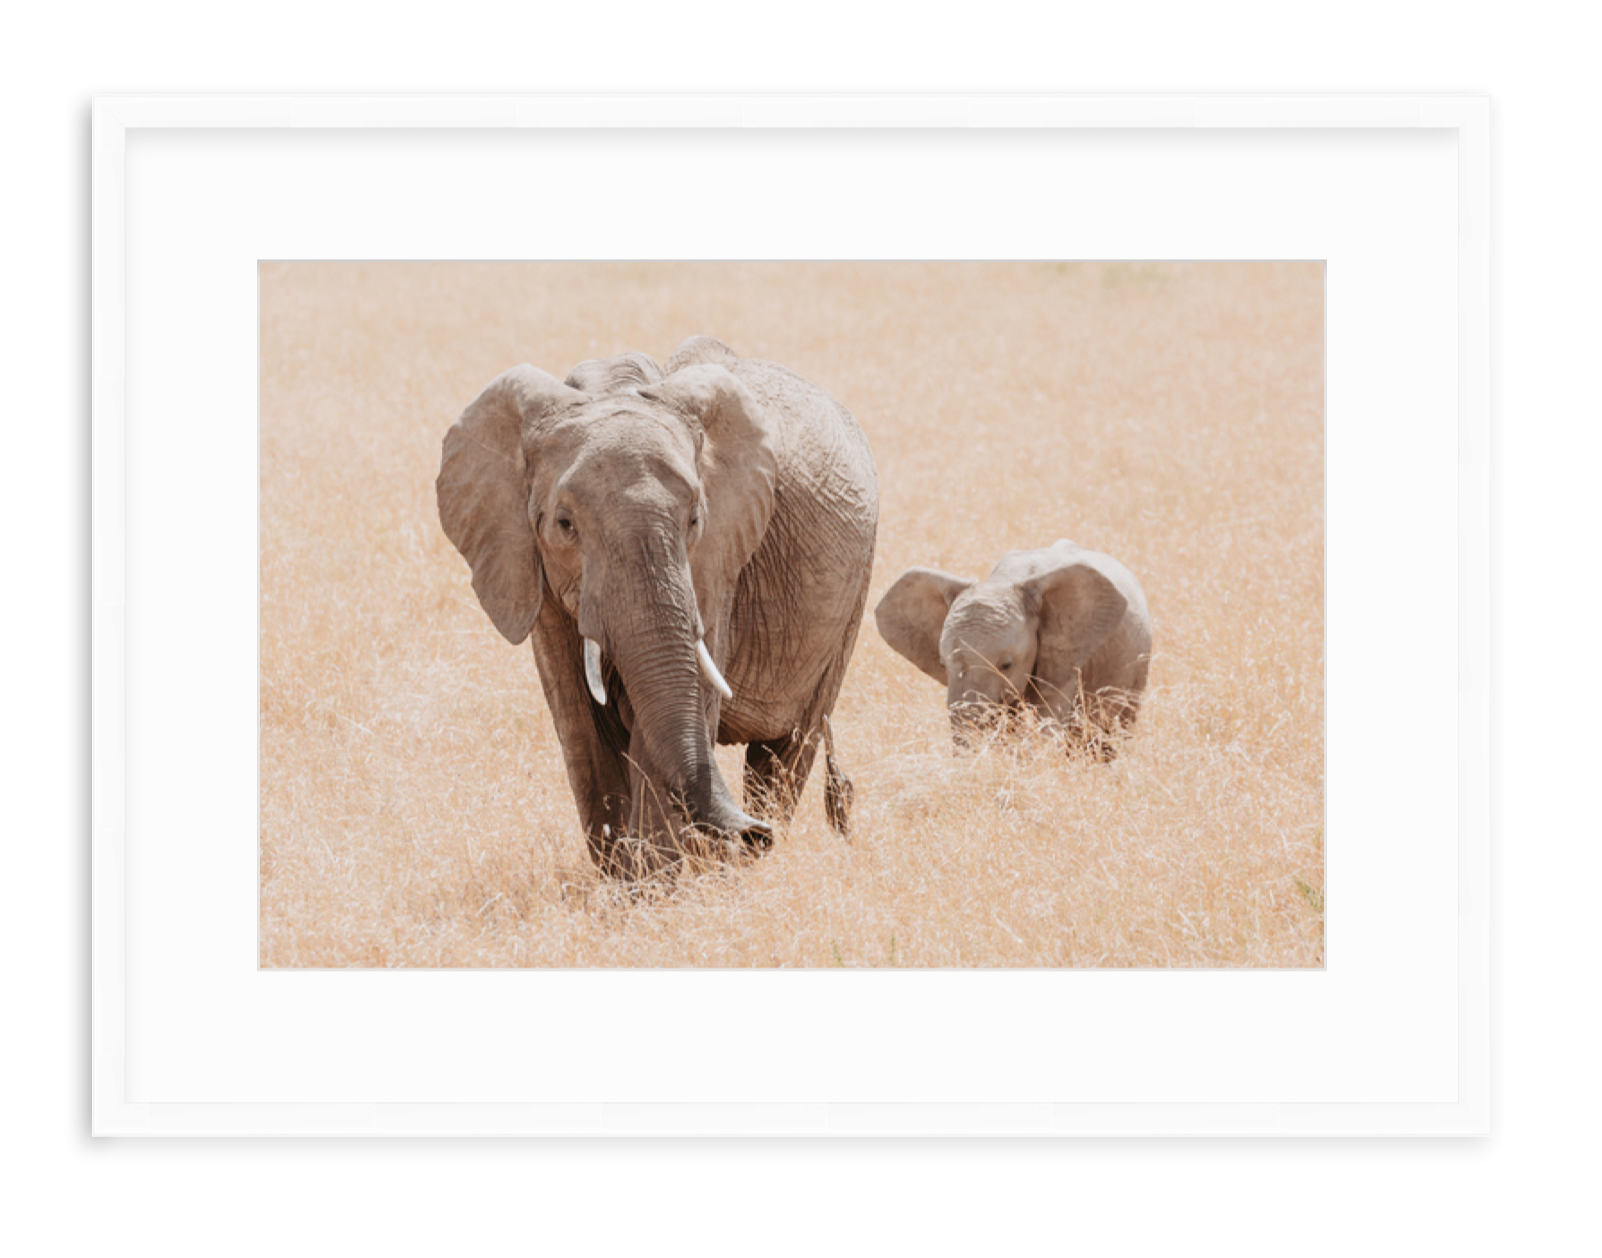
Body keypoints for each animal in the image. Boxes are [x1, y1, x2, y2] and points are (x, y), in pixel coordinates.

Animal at [437, 336, 879, 877]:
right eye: (564, 524)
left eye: (694, 520)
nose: (753, 835)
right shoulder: (531, 569)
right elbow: (580, 726)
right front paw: (624, 886)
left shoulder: (716, 566)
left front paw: (658, 885)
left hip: (853, 594)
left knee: (790, 747)